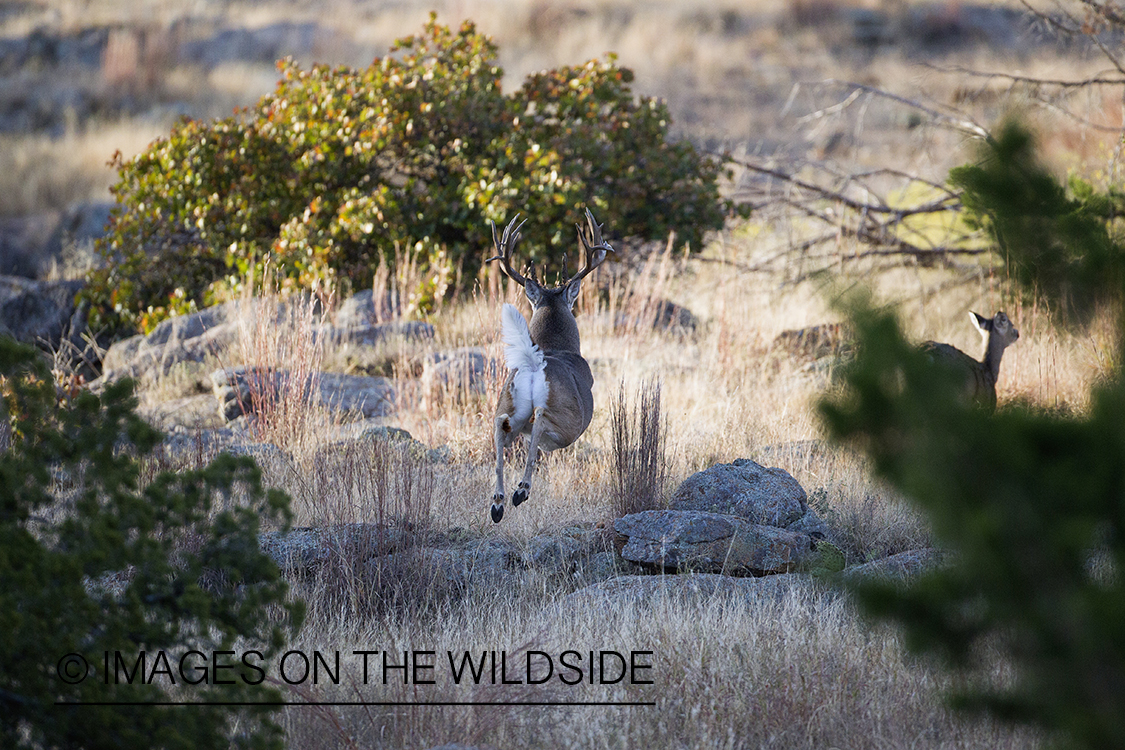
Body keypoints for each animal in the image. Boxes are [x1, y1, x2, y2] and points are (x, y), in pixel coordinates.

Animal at [488, 208, 616, 526]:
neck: (555, 347)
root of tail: (534, 363)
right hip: (569, 422)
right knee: (540, 419)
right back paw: (521, 490)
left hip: (509, 401)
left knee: (500, 423)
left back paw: (497, 503)